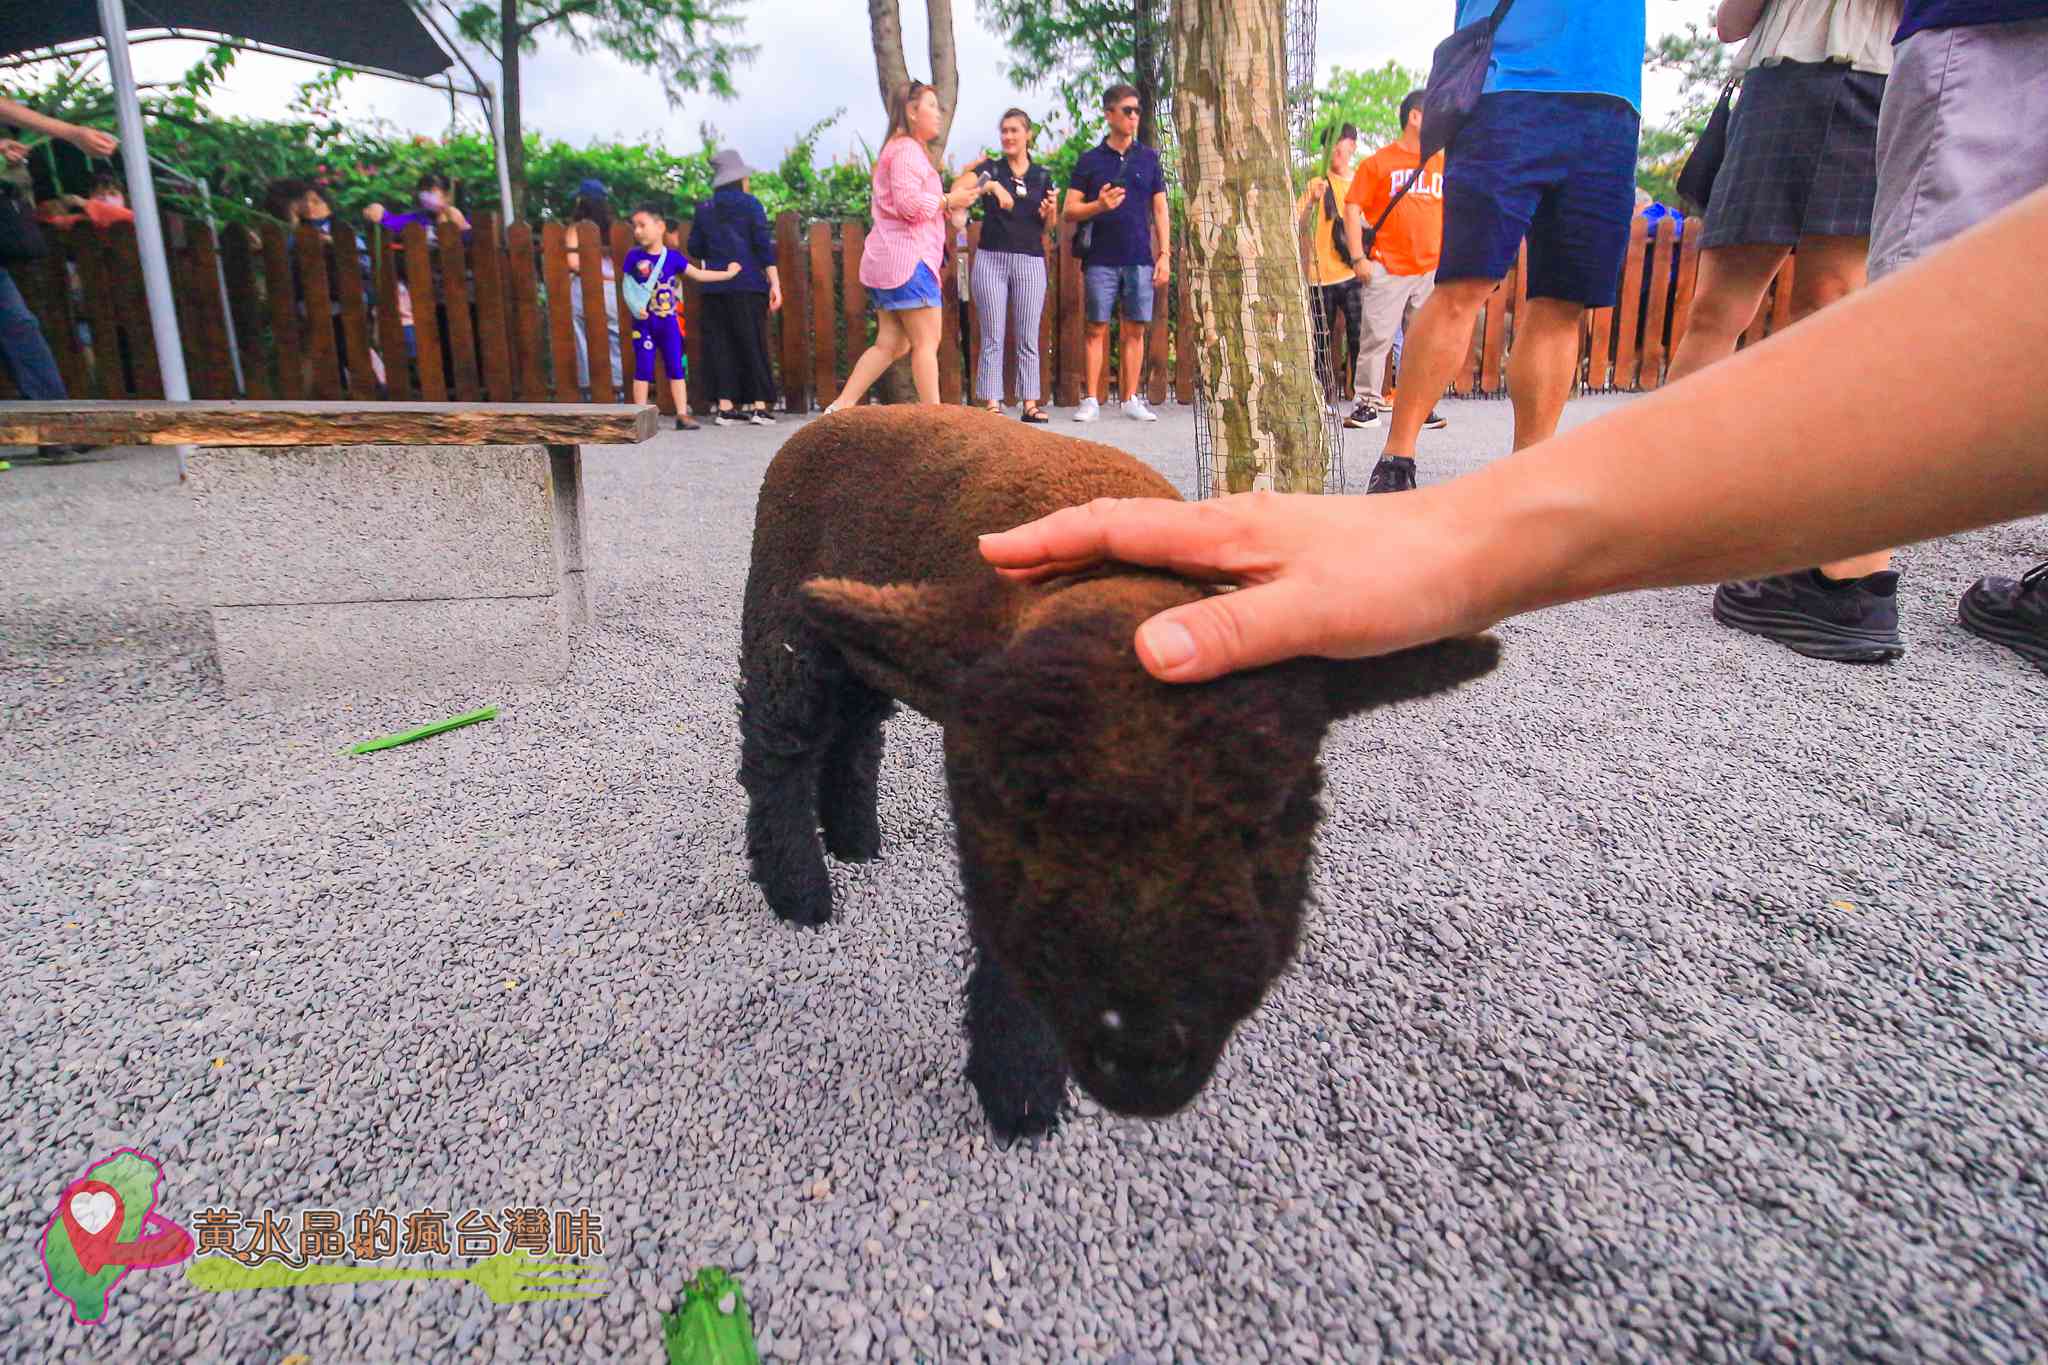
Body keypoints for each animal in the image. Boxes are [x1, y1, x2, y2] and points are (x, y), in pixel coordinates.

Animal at [737, 405, 1507, 1146]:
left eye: (1273, 821)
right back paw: (800, 891)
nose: (1144, 1056)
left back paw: (854, 839)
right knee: (777, 751)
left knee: (854, 731)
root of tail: (828, 418)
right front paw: (1020, 1089)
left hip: (857, 635)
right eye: (1017, 823)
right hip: (783, 622)